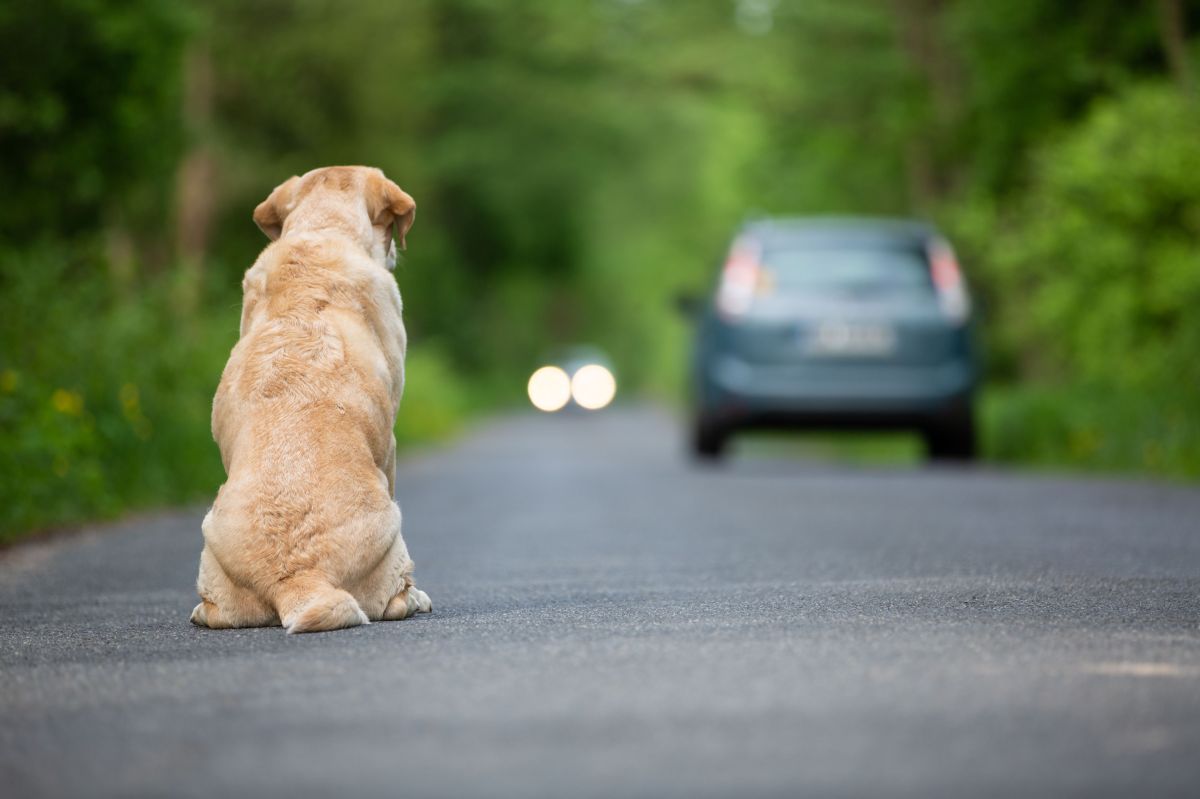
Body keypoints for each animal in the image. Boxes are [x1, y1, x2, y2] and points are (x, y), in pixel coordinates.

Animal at [187, 164, 432, 633]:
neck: (322, 230)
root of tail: (299, 577)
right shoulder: (390, 442)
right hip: (393, 531)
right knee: (394, 597)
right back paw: (415, 598)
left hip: (211, 545)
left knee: (214, 611)